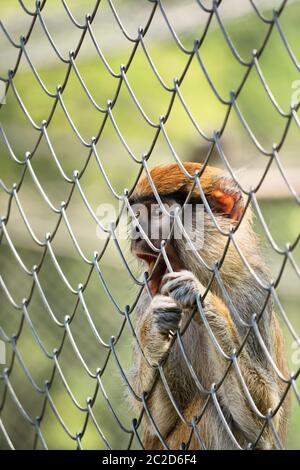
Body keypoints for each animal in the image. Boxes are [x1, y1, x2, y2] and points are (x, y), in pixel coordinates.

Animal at [126, 162, 288, 452]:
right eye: (136, 214)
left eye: (156, 212)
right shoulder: (147, 297)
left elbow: (264, 422)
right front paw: (153, 329)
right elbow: (157, 421)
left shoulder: (254, 294)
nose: (135, 231)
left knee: (215, 407)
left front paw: (205, 302)